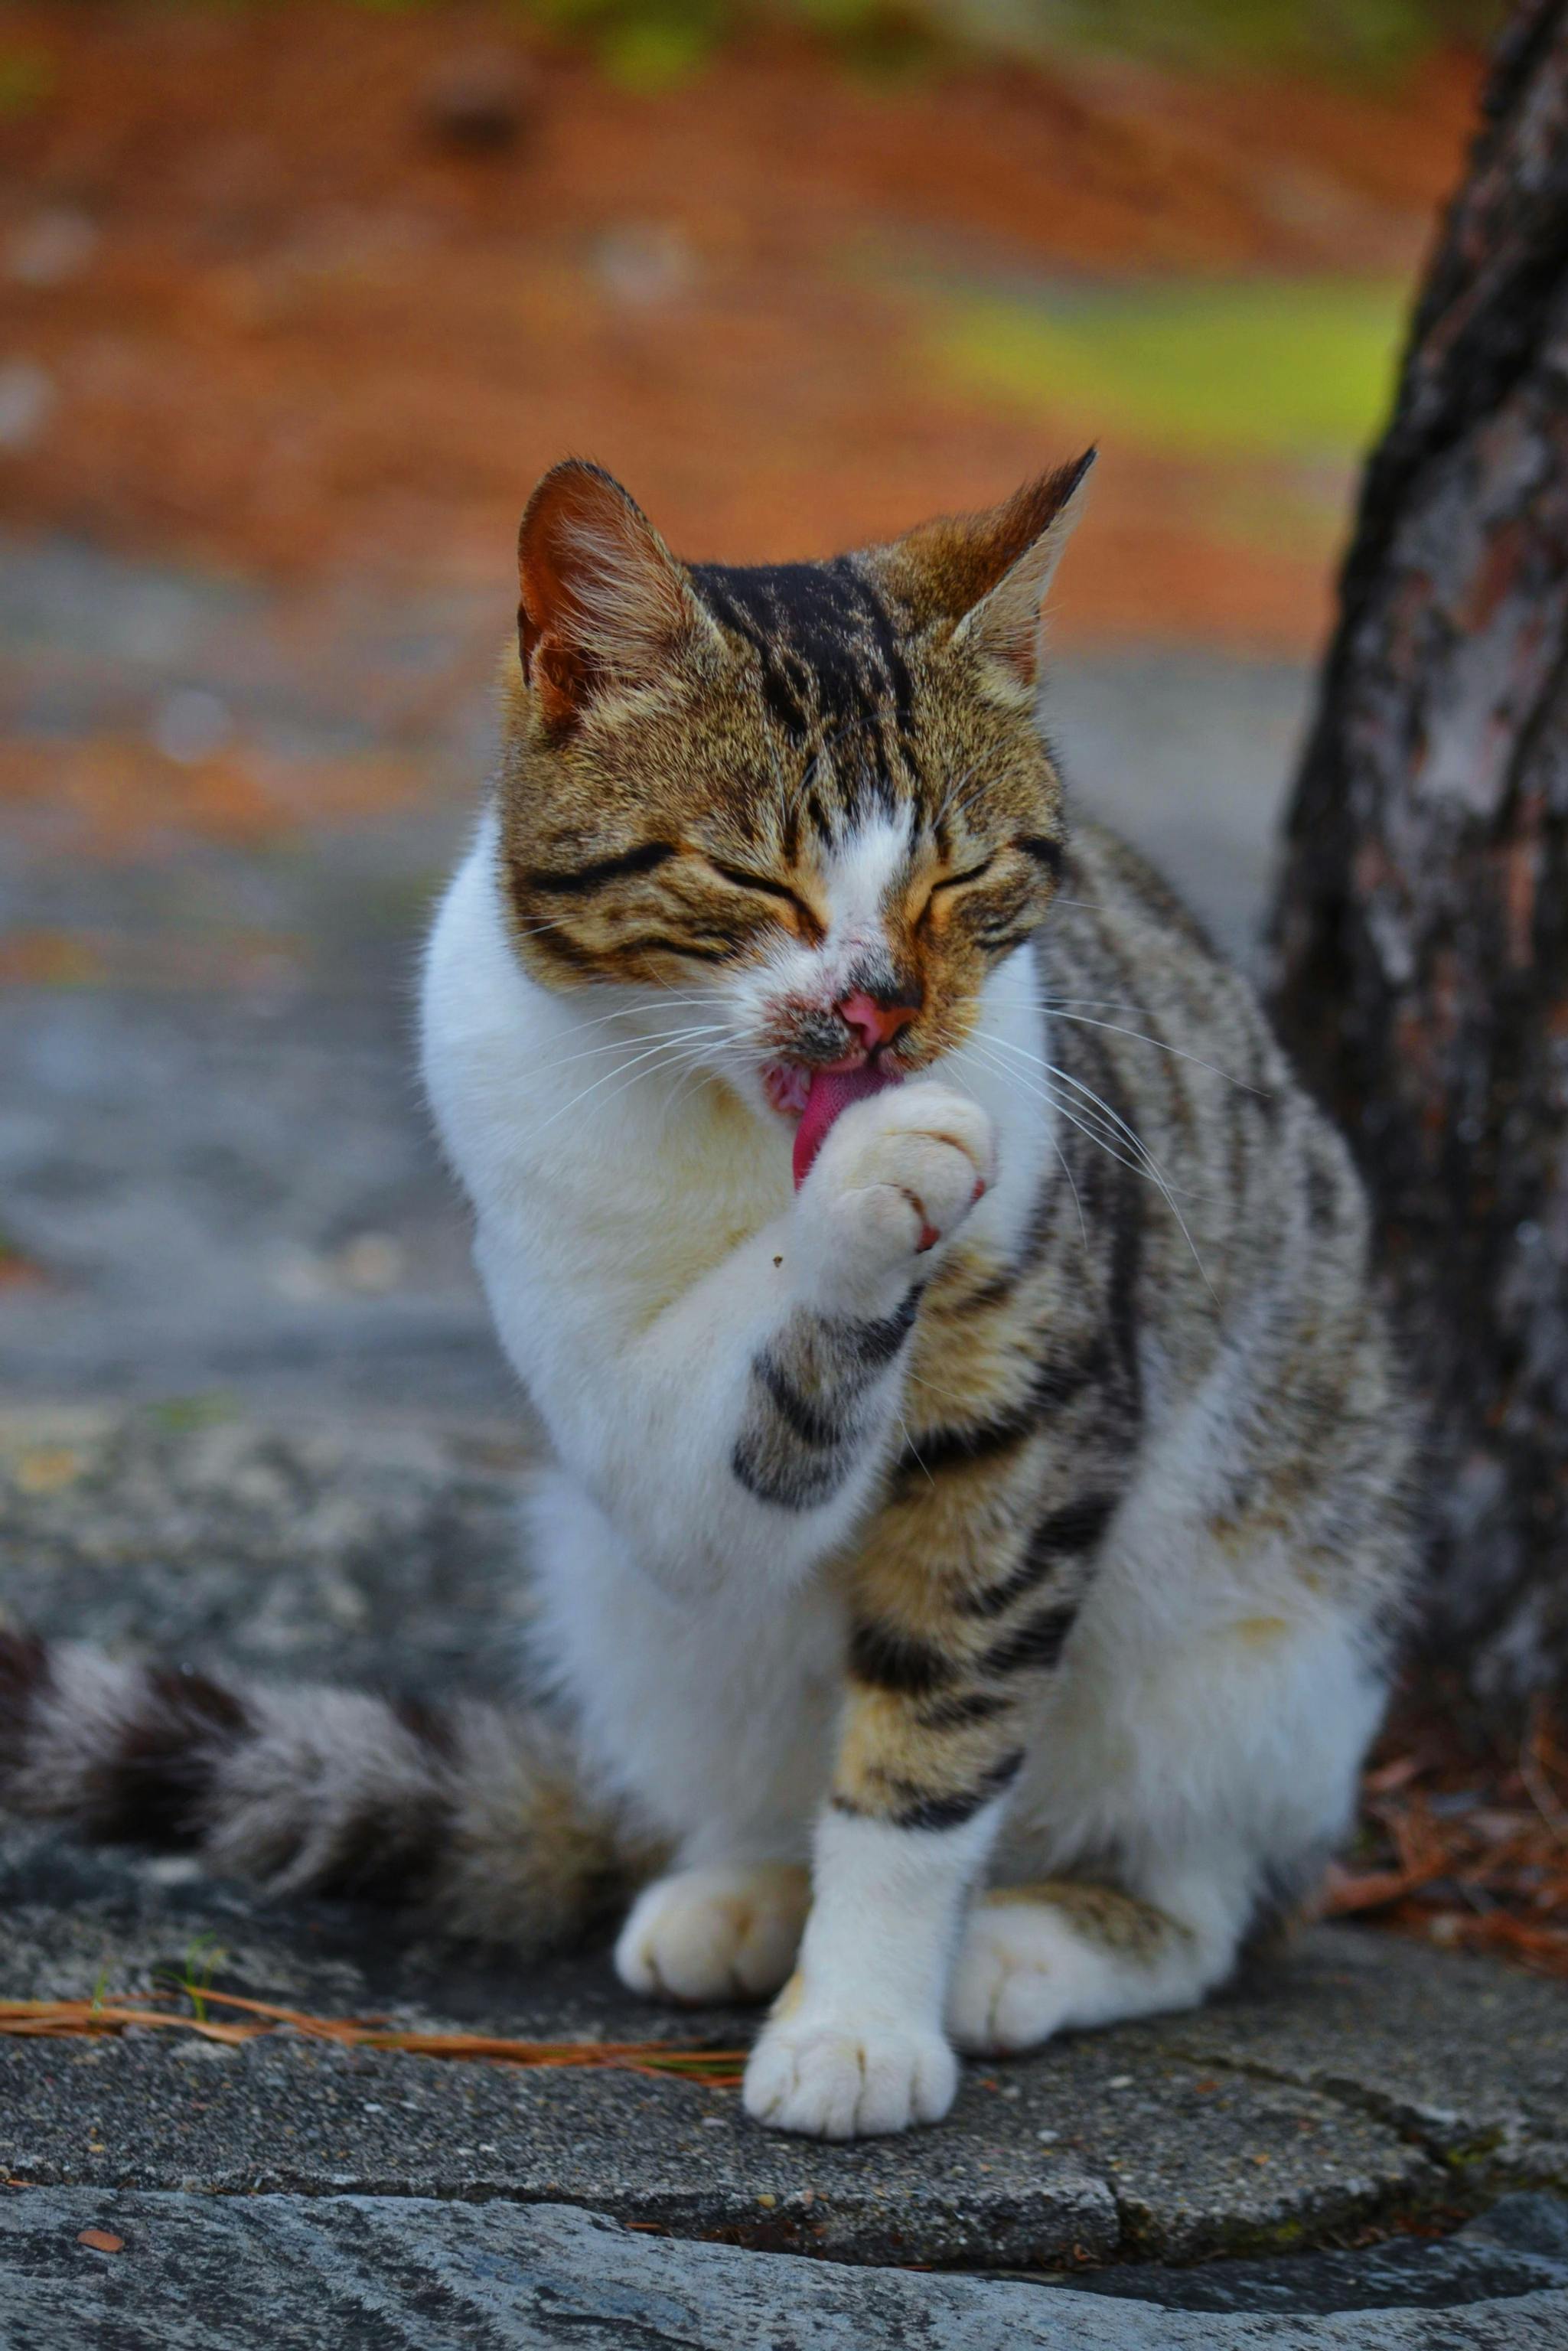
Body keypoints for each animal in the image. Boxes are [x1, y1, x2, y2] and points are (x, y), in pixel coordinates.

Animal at [0, 448, 1420, 2144]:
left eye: (962, 872)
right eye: (752, 873)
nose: (880, 1008)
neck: (736, 1132)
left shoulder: (1035, 1411)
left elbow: (929, 1741)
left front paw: (860, 2020)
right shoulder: (618, 1416)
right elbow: (730, 1431)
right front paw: (857, 1200)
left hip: (1267, 1656)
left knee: (1213, 1894)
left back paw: (1033, 1941)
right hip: (628, 1611)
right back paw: (737, 1893)